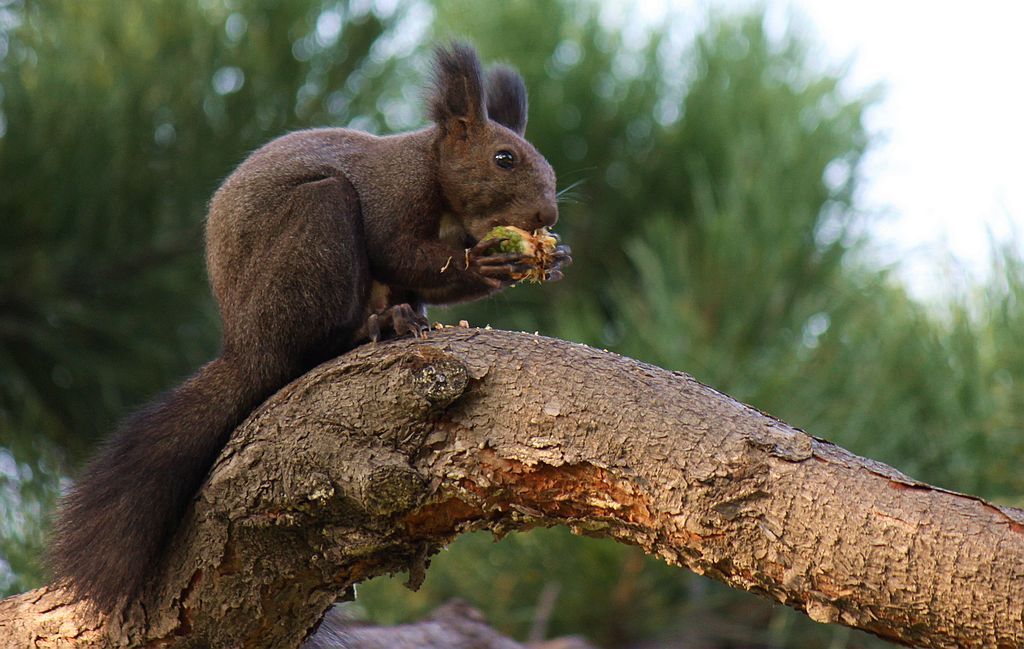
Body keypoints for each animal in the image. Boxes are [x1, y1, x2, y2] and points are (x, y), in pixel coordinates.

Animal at [51, 42, 573, 610]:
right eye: (504, 158)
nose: (547, 214)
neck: (439, 179)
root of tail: (246, 347)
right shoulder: (393, 196)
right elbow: (401, 253)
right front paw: (490, 263)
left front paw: (551, 257)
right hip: (315, 226)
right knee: (312, 339)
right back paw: (373, 328)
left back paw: (400, 318)